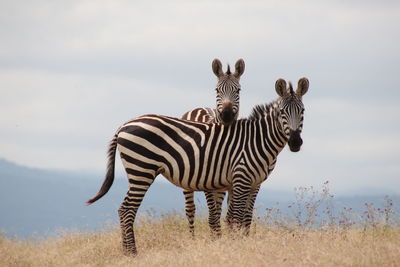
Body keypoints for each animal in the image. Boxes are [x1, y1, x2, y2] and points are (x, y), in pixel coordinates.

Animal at [86, 77, 310, 255]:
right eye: (282, 112)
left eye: (303, 111)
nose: (296, 143)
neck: (257, 140)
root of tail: (124, 125)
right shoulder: (240, 178)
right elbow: (236, 217)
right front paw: (236, 247)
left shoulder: (255, 183)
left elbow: (246, 218)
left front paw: (245, 244)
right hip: (142, 169)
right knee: (127, 209)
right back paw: (132, 253)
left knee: (124, 209)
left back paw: (126, 251)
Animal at [180, 58, 244, 237]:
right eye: (217, 90)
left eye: (238, 90)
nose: (227, 114)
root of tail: (197, 108)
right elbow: (213, 214)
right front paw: (216, 237)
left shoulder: (229, 184)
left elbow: (229, 214)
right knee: (190, 209)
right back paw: (192, 238)